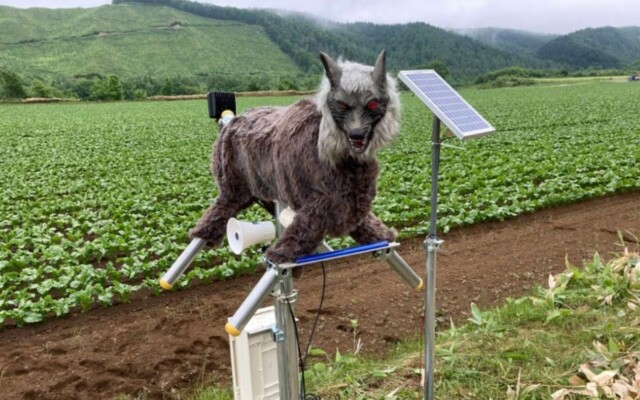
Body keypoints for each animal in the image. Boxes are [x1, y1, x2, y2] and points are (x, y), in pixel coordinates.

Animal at [189, 50, 401, 263]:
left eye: (372, 104)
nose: (356, 134)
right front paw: (279, 254)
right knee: (221, 207)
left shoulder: (349, 205)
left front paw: (383, 235)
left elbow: (365, 224)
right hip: (233, 185)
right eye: (341, 104)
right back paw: (203, 232)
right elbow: (303, 232)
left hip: (262, 189)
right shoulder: (318, 205)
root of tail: (231, 122)